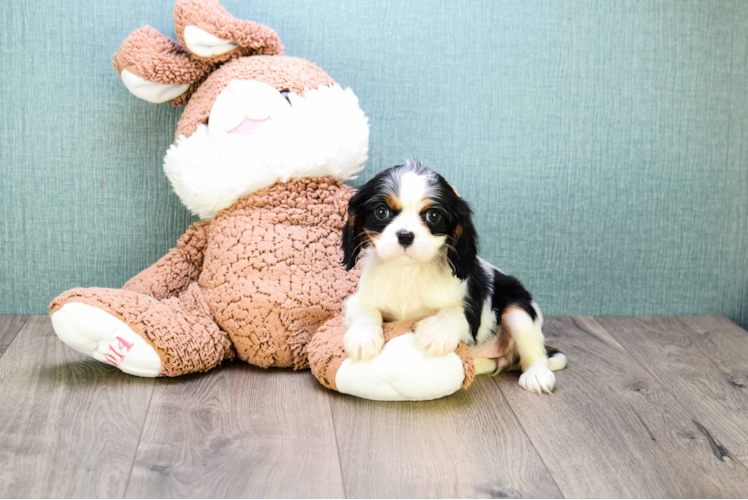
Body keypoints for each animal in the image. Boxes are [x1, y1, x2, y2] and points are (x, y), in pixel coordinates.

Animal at [340, 160, 568, 394]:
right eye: (381, 212)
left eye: (433, 216)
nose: (405, 235)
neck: (408, 270)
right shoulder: (359, 300)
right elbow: (366, 311)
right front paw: (363, 337)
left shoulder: (471, 308)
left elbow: (454, 312)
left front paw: (435, 332)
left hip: (519, 310)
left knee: (535, 354)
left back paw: (537, 375)